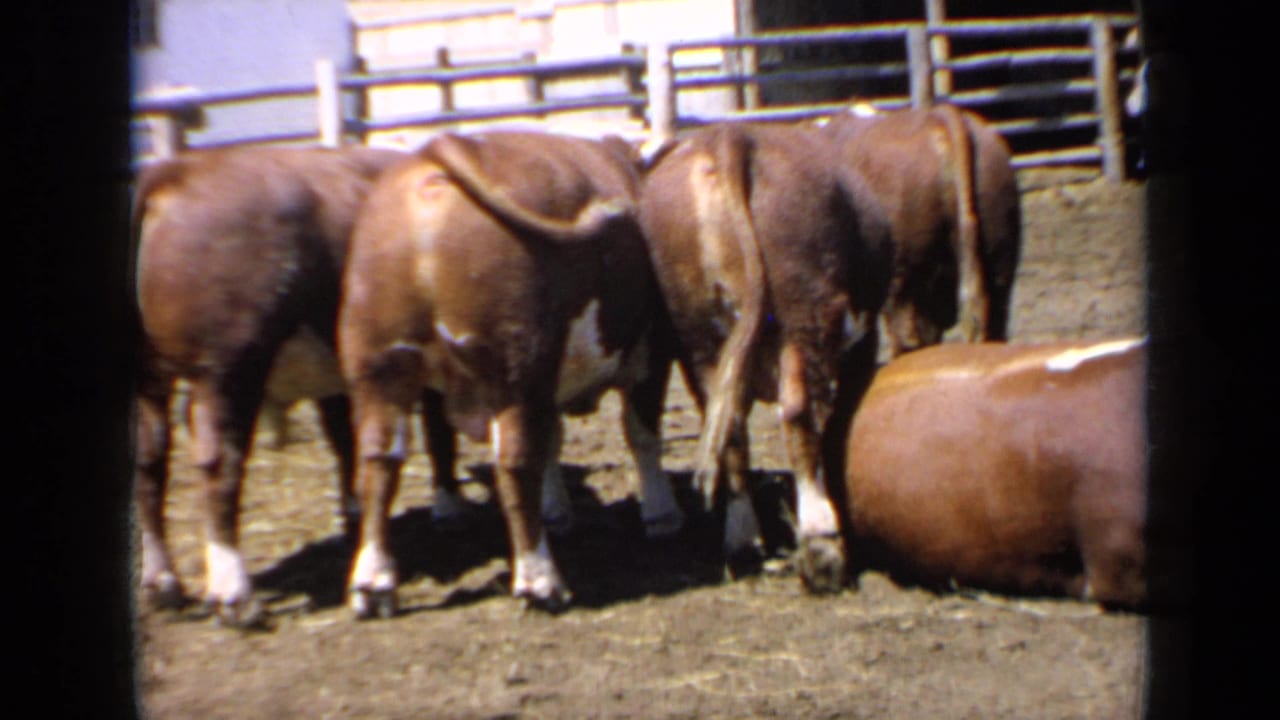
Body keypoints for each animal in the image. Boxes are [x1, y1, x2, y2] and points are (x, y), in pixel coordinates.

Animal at [132, 144, 468, 624]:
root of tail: (173, 172)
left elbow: (345, 437)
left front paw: (354, 510)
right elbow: (437, 427)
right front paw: (448, 504)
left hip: (149, 377)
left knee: (150, 463)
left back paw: (163, 582)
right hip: (226, 371)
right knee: (219, 464)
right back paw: (234, 592)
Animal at [337, 129, 682, 617]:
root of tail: (437, 155)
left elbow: (555, 441)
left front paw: (558, 510)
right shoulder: (650, 352)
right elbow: (642, 435)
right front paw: (661, 512)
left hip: (380, 374)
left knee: (378, 462)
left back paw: (373, 582)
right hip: (514, 374)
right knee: (515, 463)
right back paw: (539, 578)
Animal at [637, 121, 895, 593]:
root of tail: (729, 139)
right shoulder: (860, 343)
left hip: (700, 338)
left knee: (731, 428)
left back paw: (742, 537)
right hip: (804, 316)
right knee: (798, 413)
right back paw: (821, 542)